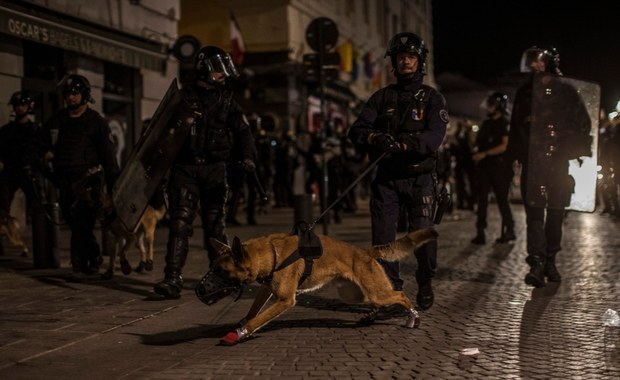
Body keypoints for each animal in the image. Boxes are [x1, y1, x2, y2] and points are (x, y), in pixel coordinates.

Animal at [208, 227, 436, 346]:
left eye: (221, 271)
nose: (201, 290)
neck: (271, 254)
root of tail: (366, 251)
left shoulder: (284, 300)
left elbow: (258, 319)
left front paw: (240, 332)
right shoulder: (266, 289)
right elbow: (253, 311)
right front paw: (241, 323)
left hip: (375, 292)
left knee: (400, 295)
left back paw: (413, 316)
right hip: (358, 294)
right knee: (384, 298)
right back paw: (373, 315)